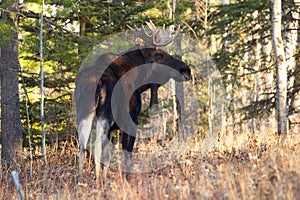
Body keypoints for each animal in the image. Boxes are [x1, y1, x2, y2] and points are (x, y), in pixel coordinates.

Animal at [74, 21, 192, 184]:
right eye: (159, 55)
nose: (186, 70)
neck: (140, 80)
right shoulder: (131, 120)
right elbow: (127, 154)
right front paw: (127, 180)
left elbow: (108, 156)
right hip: (104, 116)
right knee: (96, 146)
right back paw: (97, 182)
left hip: (83, 115)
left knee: (82, 146)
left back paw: (80, 181)